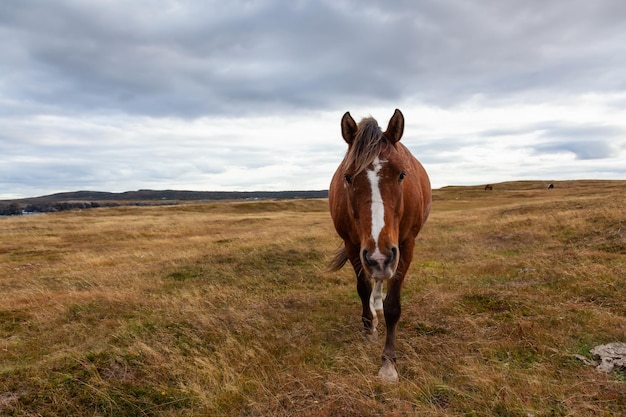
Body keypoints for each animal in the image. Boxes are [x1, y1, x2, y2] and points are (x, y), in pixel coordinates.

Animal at [326, 109, 428, 382]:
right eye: (348, 177)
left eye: (401, 174)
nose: (379, 257)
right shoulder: (353, 245)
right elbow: (362, 288)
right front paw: (368, 328)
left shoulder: (405, 245)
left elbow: (393, 306)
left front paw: (388, 362)